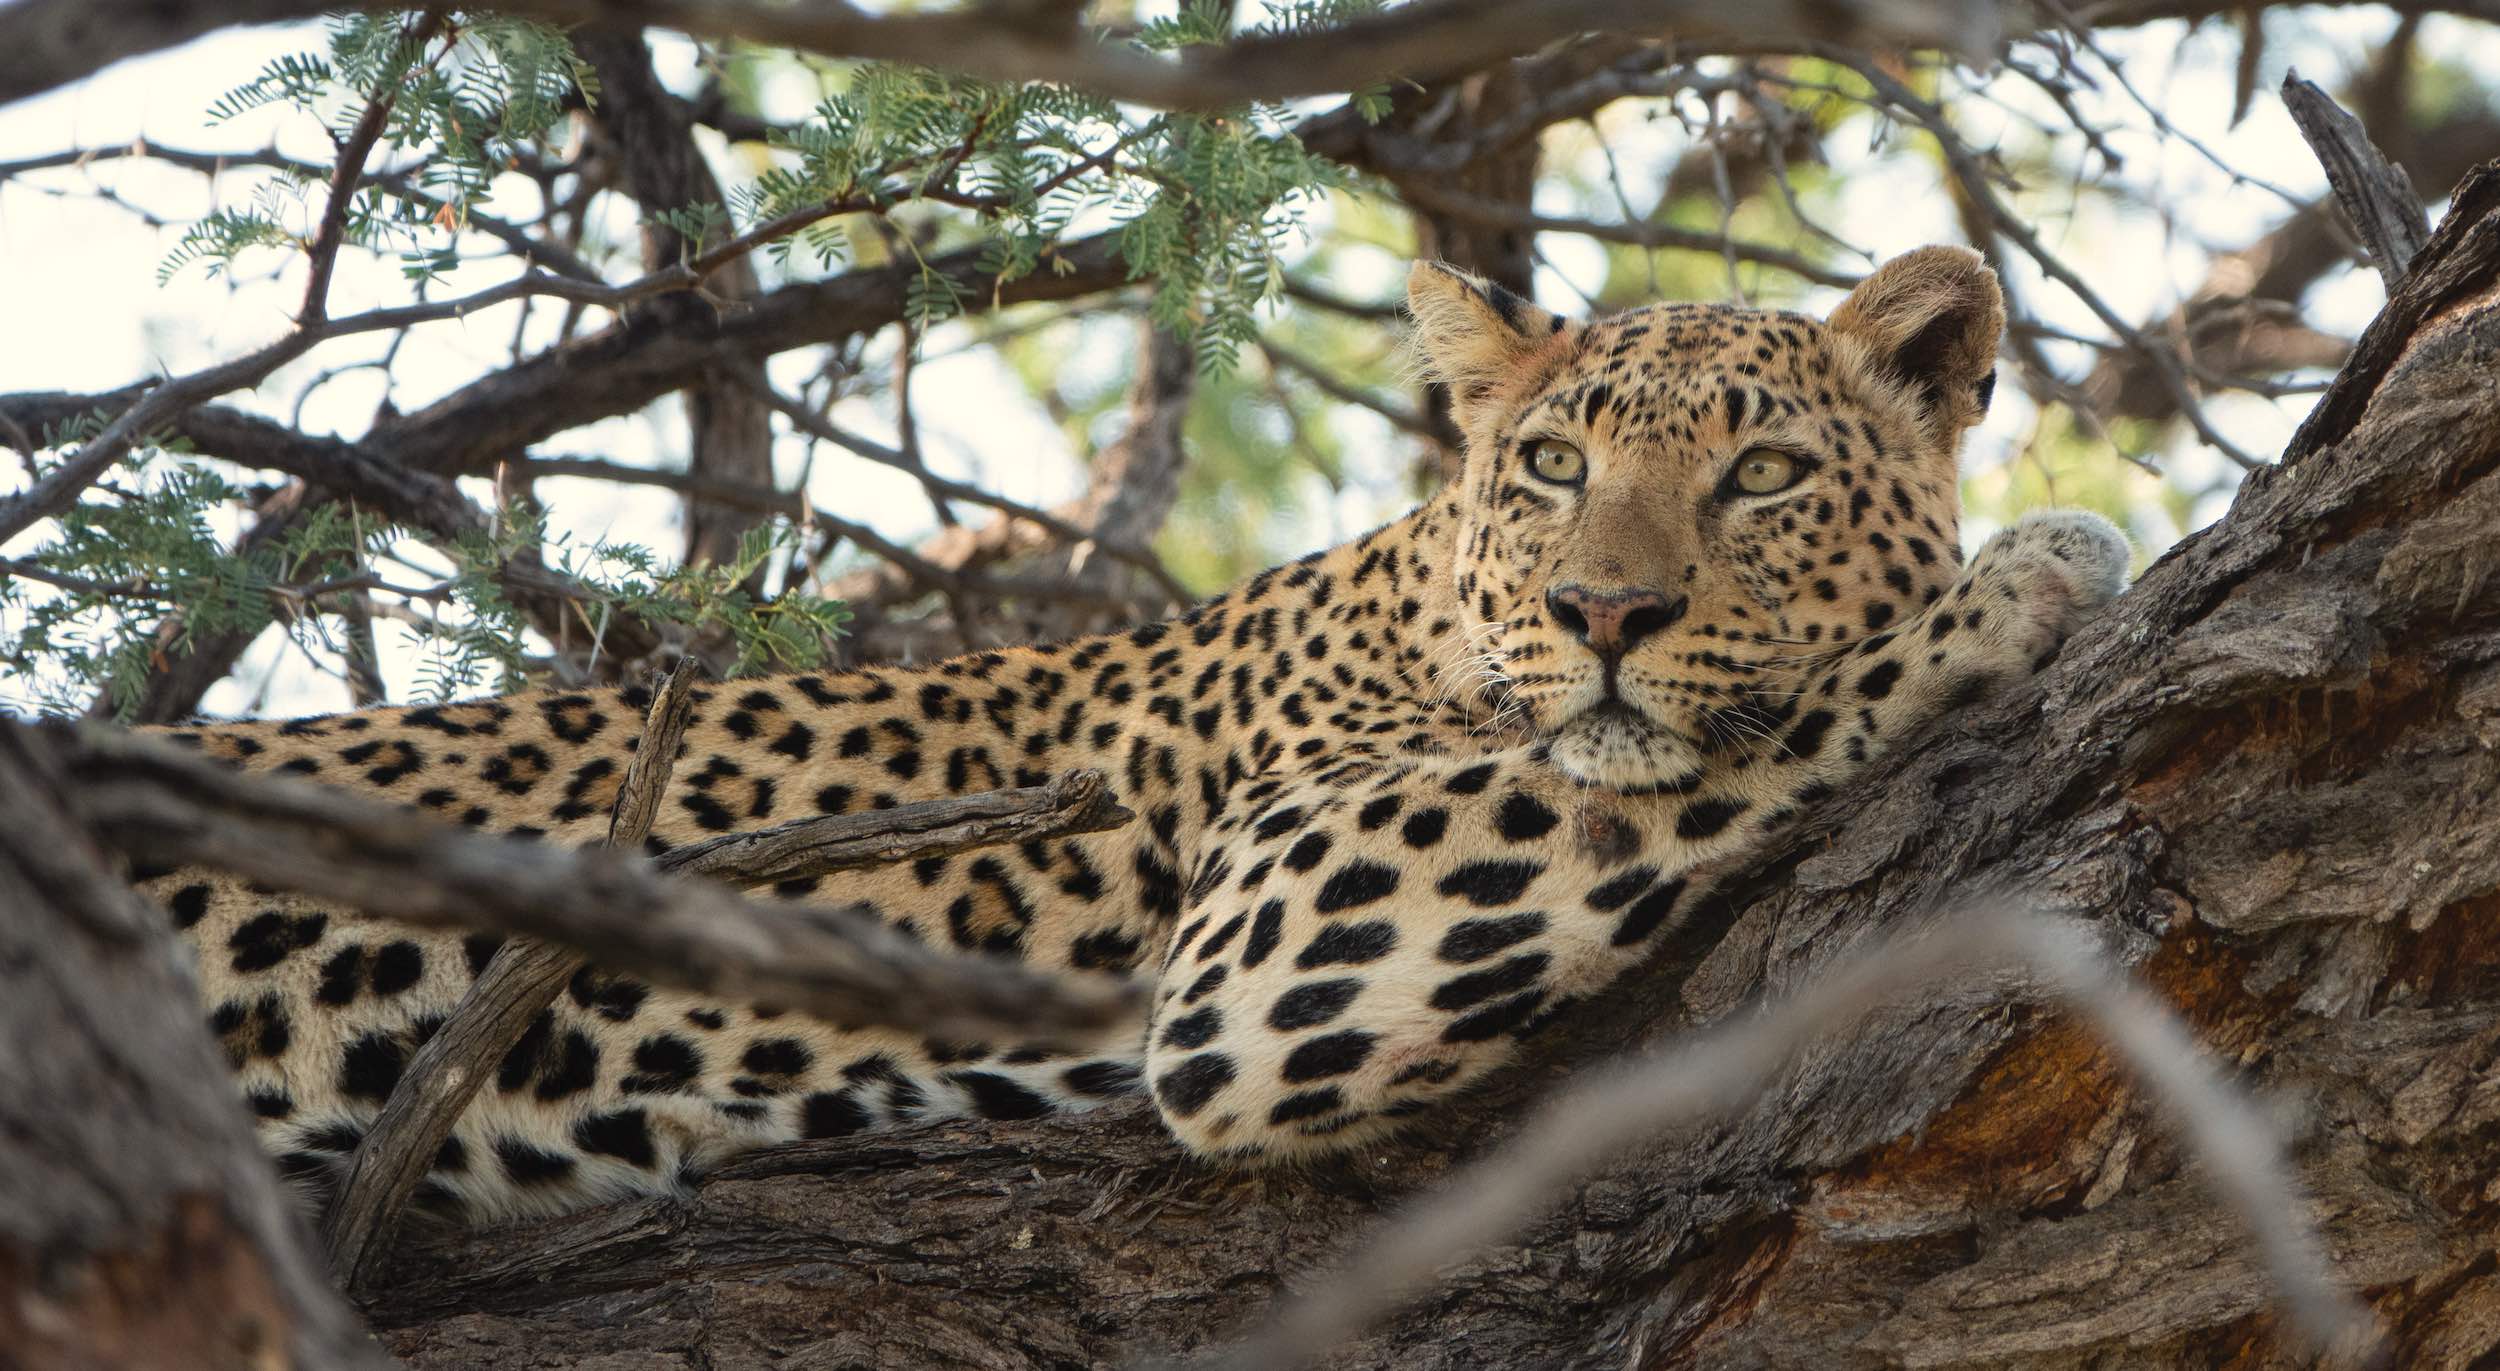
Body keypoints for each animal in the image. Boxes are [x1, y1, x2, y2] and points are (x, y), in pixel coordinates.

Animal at [141, 243, 2130, 1220]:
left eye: (1764, 475)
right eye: (1558, 466)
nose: (1606, 617)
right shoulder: (1282, 915)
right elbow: (1675, 761)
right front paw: (2027, 580)